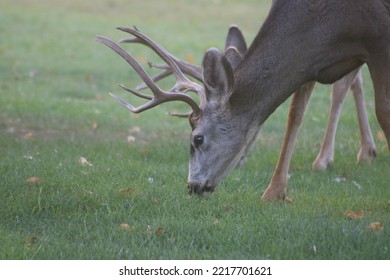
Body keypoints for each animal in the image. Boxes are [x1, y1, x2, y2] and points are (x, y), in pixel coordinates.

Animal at [98, 0, 390, 201]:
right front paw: (274, 192)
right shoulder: (311, 63)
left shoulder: (378, 37)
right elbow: (295, 114)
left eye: (197, 139)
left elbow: (382, 110)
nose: (192, 186)